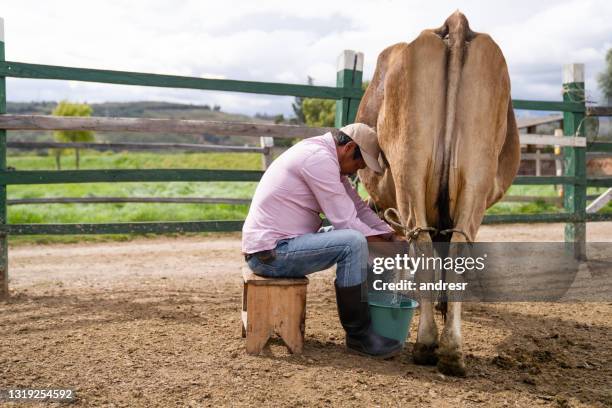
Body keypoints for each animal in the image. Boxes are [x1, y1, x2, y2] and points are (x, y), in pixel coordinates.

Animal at [356, 11, 520, 376]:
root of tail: (456, 23)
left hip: (408, 167)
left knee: (422, 245)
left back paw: (428, 344)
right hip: (476, 172)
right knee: (457, 248)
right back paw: (452, 351)